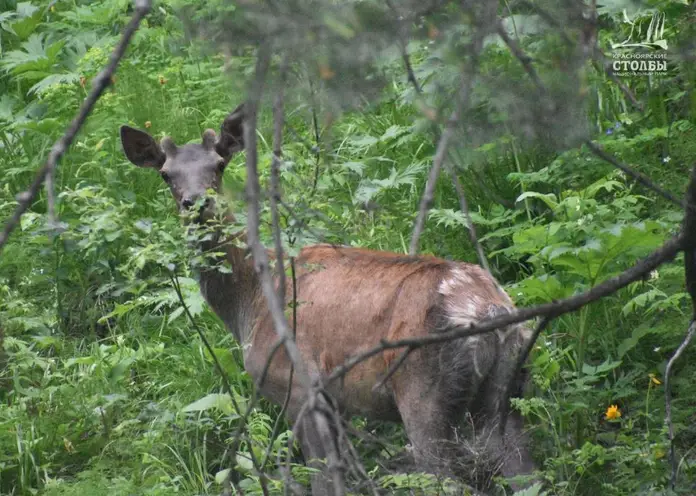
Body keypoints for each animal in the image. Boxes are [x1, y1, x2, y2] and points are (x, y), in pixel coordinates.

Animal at [118, 102, 532, 494]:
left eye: (218, 165)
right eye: (166, 174)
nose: (196, 201)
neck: (248, 304)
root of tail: (491, 311)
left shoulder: (299, 387)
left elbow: (323, 479)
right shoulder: (338, 403)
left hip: (424, 392)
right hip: (510, 389)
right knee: (525, 471)